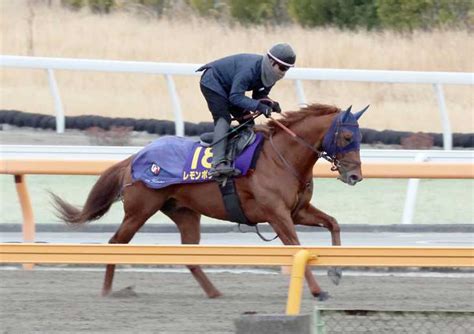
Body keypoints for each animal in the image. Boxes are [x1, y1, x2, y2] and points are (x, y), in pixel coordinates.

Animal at [52, 102, 370, 300]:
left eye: (359, 138)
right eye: (346, 136)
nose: (355, 175)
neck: (283, 157)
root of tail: (134, 158)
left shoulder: (297, 211)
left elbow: (333, 224)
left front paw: (336, 271)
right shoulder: (277, 215)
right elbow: (296, 249)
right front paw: (318, 291)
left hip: (184, 212)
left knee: (190, 256)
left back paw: (214, 292)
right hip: (139, 210)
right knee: (116, 243)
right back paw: (107, 291)